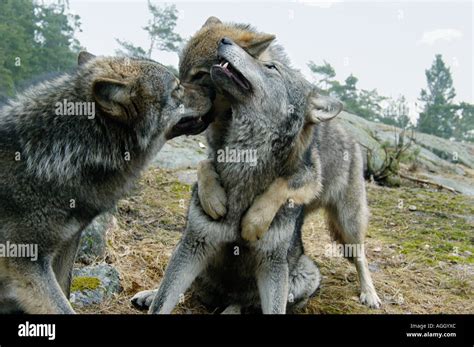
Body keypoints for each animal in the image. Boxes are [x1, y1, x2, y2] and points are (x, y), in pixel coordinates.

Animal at [0, 51, 211, 316]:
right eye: (177, 88)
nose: (213, 87)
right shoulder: (28, 262)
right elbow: (62, 306)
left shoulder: (68, 242)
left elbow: (65, 292)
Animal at [131, 38, 336, 316]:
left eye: (271, 67)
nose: (225, 40)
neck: (244, 164)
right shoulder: (194, 246)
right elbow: (163, 301)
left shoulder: (272, 264)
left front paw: (255, 218)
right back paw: (149, 295)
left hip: (305, 274)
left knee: (245, 303)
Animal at [178, 17, 382, 310]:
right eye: (181, 71)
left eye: (199, 76)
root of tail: (353, 138)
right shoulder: (216, 154)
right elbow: (203, 167)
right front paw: (213, 198)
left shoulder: (309, 177)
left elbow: (278, 188)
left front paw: (254, 221)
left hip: (348, 224)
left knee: (361, 257)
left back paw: (369, 292)